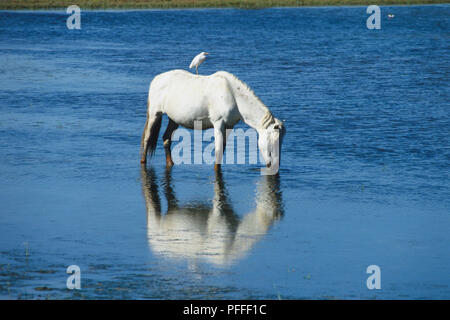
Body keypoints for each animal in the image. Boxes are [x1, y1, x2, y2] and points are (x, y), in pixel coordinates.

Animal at [140, 69, 284, 171]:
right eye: (273, 142)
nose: (275, 165)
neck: (233, 95)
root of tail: (156, 79)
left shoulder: (229, 126)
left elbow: (222, 150)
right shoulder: (218, 124)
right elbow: (218, 150)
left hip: (174, 119)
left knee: (166, 138)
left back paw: (170, 163)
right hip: (154, 114)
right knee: (147, 138)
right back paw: (143, 162)